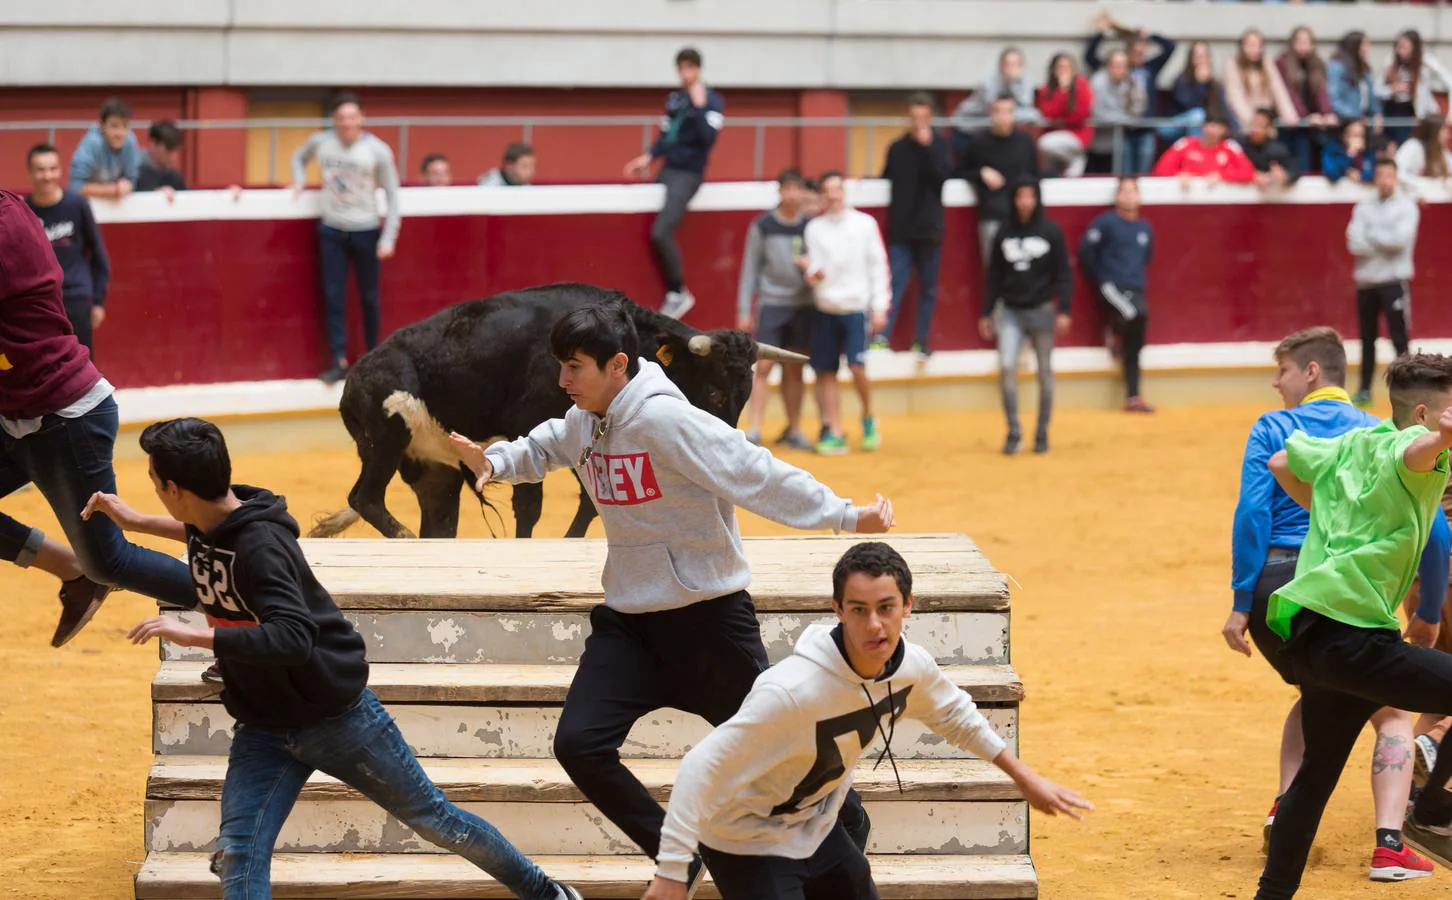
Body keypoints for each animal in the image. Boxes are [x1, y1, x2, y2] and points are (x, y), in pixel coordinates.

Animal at [310, 284, 807, 537]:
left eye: (745, 395)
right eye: (716, 394)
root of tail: (354, 378)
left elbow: (590, 505)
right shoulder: (526, 426)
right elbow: (530, 507)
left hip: (434, 469)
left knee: (438, 518)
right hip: (386, 441)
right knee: (365, 498)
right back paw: (404, 538)